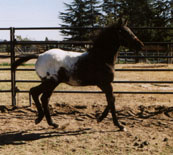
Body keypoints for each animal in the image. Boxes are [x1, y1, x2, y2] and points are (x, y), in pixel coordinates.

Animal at [12, 18, 144, 131]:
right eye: (124, 32)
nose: (141, 45)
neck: (100, 58)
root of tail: (39, 55)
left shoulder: (104, 85)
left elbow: (112, 99)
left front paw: (100, 119)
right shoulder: (105, 84)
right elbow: (111, 100)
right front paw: (119, 125)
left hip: (49, 83)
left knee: (42, 96)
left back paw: (49, 122)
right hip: (51, 82)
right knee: (37, 93)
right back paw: (42, 119)